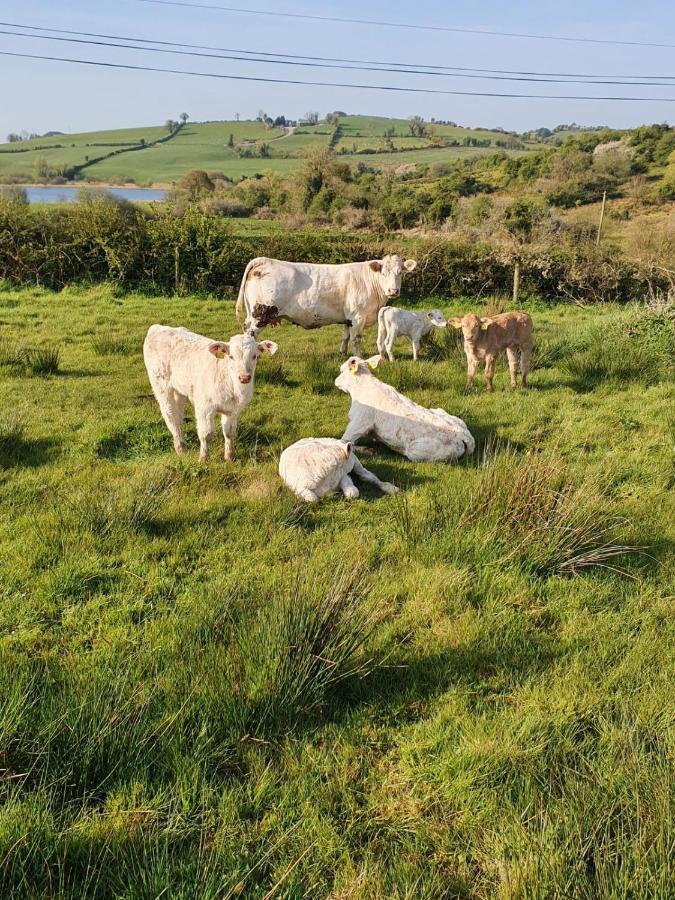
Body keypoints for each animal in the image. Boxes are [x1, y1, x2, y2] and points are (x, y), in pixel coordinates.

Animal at [144, 326, 278, 464]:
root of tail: (158, 327)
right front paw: (203, 458)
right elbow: (206, 434)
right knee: (170, 416)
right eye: (231, 356)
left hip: (179, 390)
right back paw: (181, 449)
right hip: (161, 386)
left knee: (178, 417)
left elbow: (230, 433)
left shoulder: (233, 410)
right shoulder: (204, 407)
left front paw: (229, 457)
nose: (244, 377)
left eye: (255, 356)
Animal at [238, 253, 418, 356]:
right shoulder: (357, 317)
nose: (393, 290)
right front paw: (359, 357)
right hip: (260, 313)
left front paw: (343, 353)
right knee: (250, 332)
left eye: (400, 272)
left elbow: (345, 336)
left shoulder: (348, 318)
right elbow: (356, 339)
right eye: (383, 273)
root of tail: (265, 261)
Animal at [336, 354, 476, 464]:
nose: (335, 381)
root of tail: (464, 436)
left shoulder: (359, 423)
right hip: (442, 411)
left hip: (415, 451)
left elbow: (344, 442)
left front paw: (367, 450)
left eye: (342, 371)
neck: (360, 389)